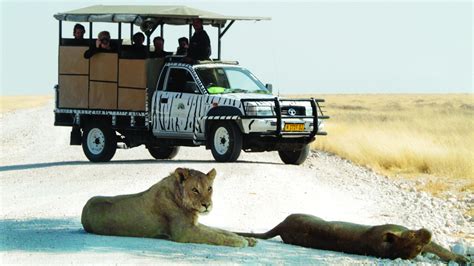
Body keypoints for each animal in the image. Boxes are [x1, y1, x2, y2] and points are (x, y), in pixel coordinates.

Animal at [81, 168, 256, 247]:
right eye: (195, 190)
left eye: (209, 188)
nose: (207, 205)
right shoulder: (184, 232)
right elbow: (214, 236)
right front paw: (240, 242)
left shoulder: (194, 225)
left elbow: (221, 231)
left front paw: (248, 239)